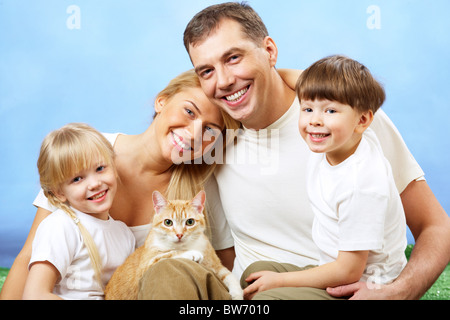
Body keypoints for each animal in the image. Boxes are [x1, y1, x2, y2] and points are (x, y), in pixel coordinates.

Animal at [104, 190, 244, 300]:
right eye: (168, 222)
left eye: (190, 222)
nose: (179, 234)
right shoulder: (146, 266)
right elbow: (170, 253)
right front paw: (192, 253)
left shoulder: (216, 266)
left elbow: (229, 275)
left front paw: (237, 294)